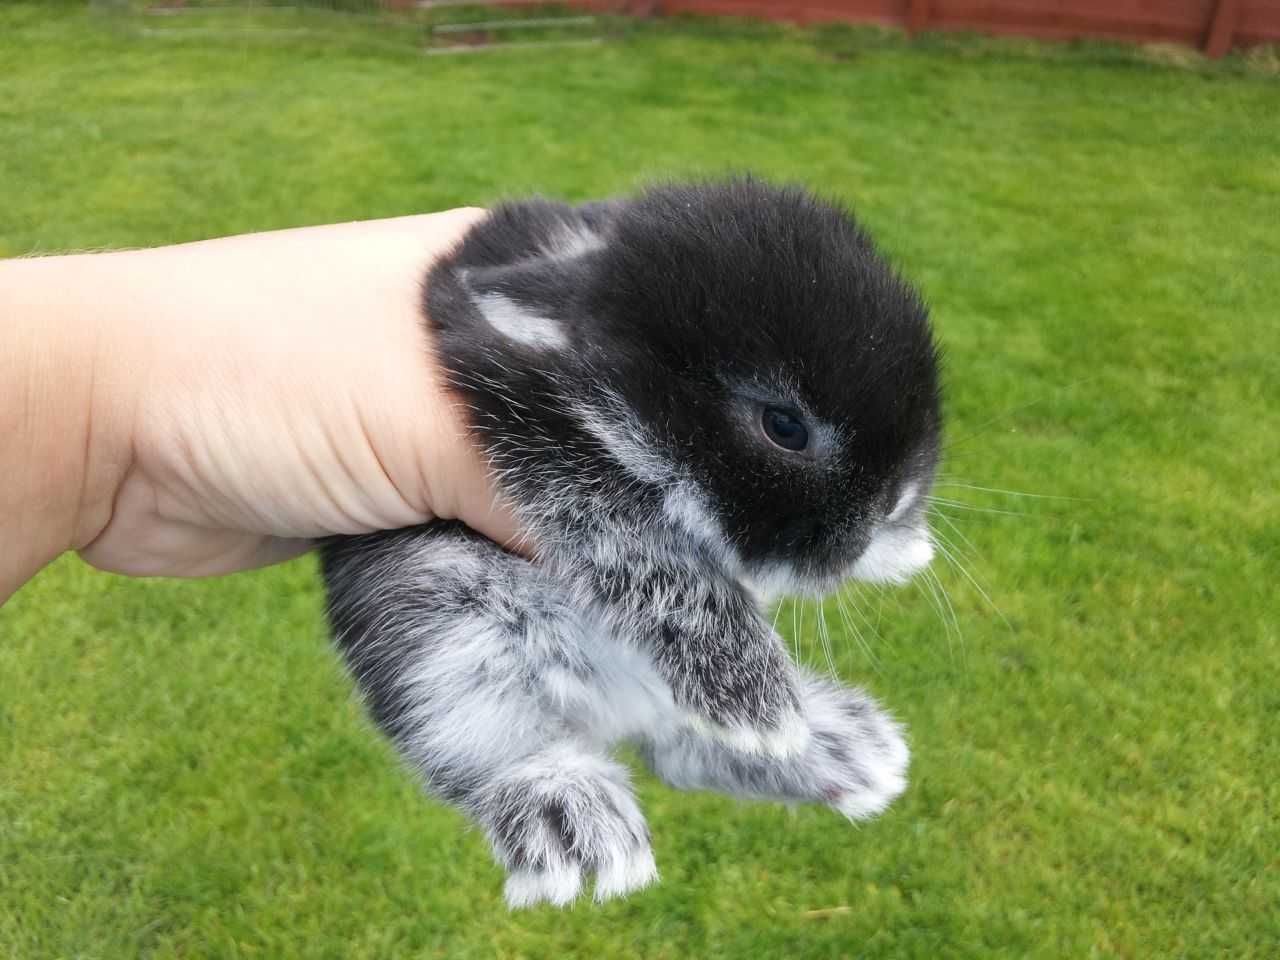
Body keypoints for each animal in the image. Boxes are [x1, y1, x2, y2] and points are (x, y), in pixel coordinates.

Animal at [317, 179, 942, 911]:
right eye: (784, 426)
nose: (896, 502)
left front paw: (907, 550)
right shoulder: (549, 451)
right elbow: (644, 553)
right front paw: (757, 702)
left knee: (675, 748)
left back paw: (848, 750)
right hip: (442, 637)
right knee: (494, 748)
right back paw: (577, 820)